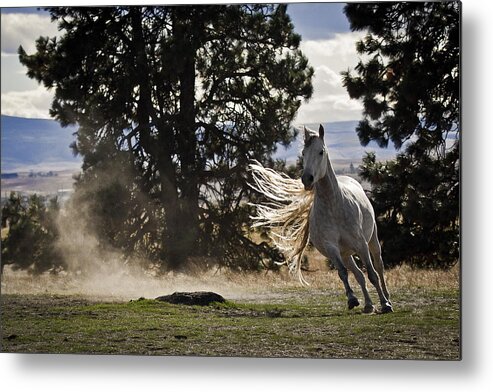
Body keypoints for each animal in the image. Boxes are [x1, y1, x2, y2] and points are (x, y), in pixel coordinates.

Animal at [250, 124, 392, 314]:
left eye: (321, 151)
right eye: (303, 153)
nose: (307, 179)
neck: (334, 206)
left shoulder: (361, 244)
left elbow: (372, 274)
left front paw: (385, 304)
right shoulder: (331, 247)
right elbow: (343, 273)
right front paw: (352, 299)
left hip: (372, 240)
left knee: (379, 266)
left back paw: (386, 299)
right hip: (346, 253)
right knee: (358, 274)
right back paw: (368, 305)